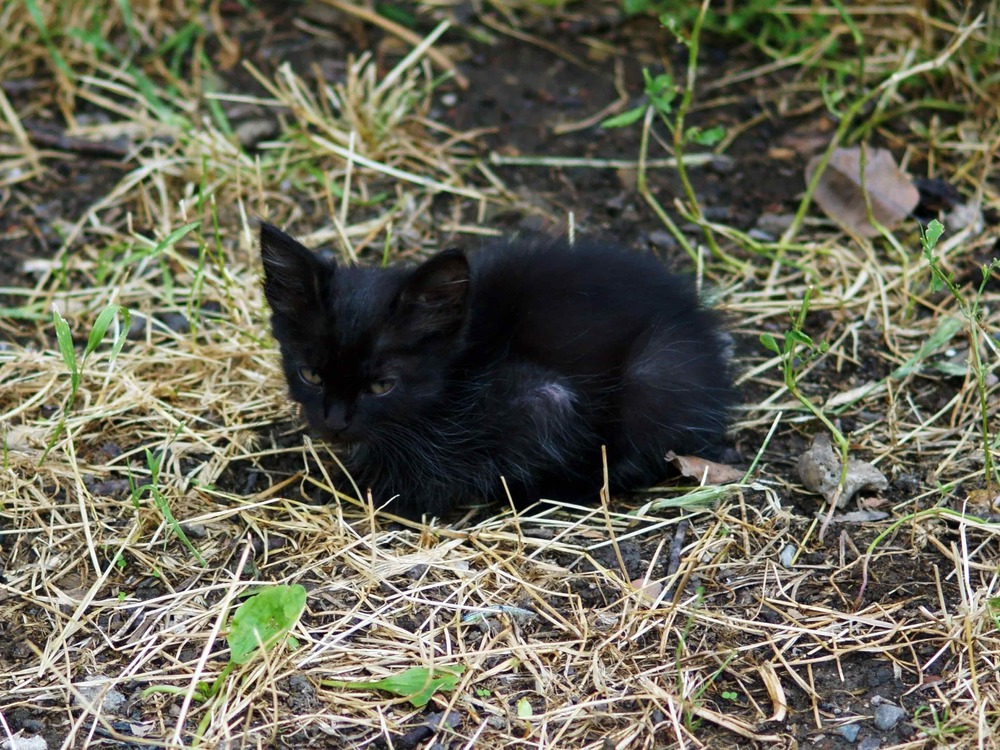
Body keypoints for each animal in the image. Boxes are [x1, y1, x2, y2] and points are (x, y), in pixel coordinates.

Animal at [262, 223, 740, 516]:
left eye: (383, 385)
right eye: (310, 375)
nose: (334, 423)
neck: (459, 372)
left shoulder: (543, 399)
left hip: (655, 373)